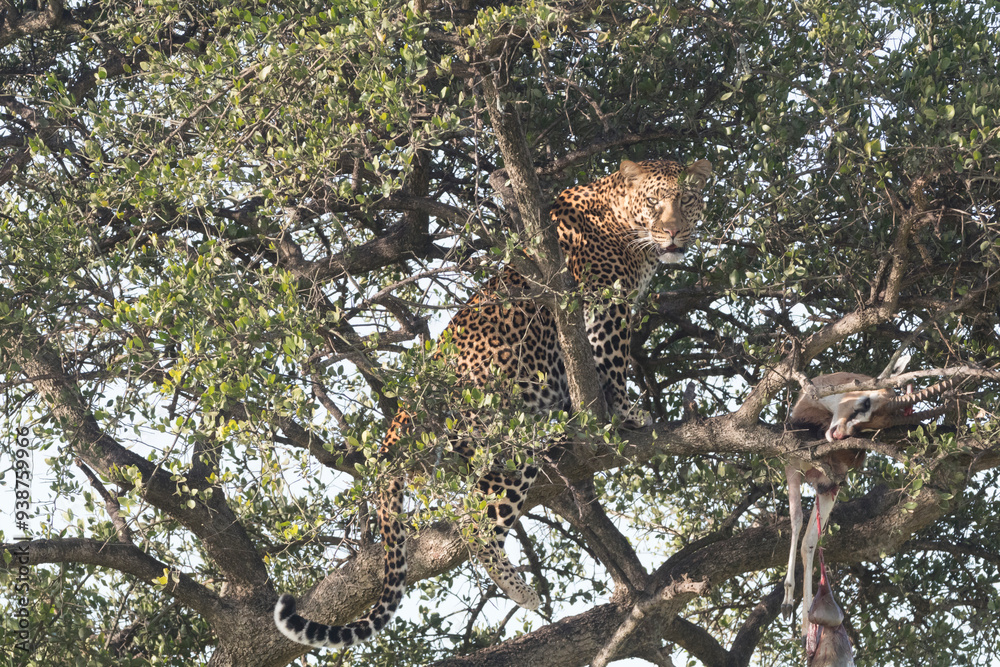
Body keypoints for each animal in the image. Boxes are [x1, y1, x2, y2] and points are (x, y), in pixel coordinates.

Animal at [274, 158, 713, 649]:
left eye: (687, 200)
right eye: (655, 202)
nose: (674, 233)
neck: (623, 223)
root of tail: (409, 406)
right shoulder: (602, 305)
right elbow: (610, 361)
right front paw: (626, 411)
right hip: (507, 446)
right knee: (475, 526)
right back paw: (523, 591)